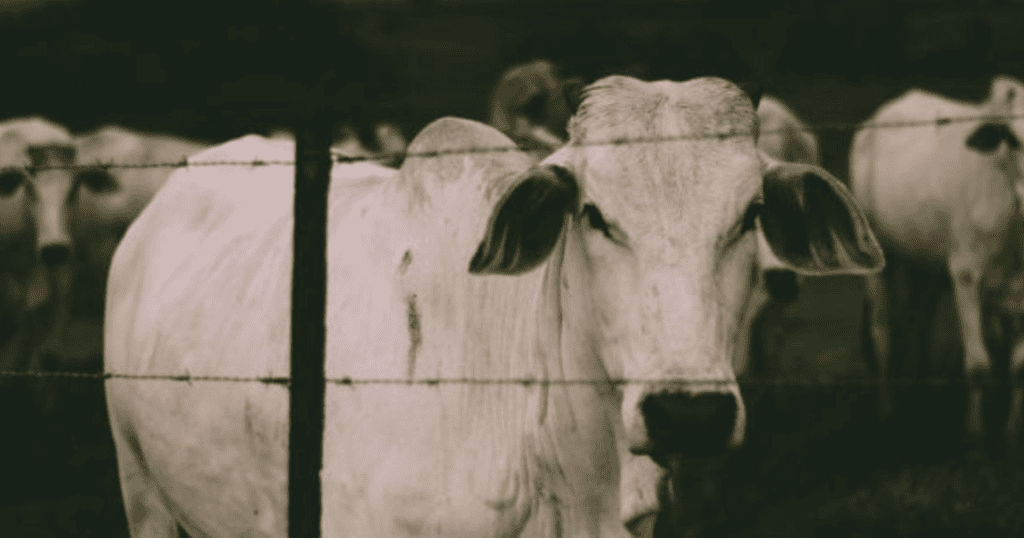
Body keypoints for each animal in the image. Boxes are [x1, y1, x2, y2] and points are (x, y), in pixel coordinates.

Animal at [851, 75, 1024, 445]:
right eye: (1013, 139)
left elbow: (1017, 366)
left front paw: (1011, 432)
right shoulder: (965, 275)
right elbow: (978, 365)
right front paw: (974, 434)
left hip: (926, 266)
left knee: (918, 322)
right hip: (878, 262)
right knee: (883, 331)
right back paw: (886, 409)